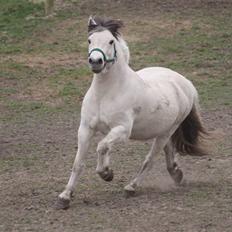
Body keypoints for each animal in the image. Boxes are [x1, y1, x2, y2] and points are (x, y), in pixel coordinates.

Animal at [55, 16, 207, 208]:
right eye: (89, 40)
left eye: (111, 41)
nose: (96, 62)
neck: (106, 93)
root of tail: (186, 84)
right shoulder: (85, 129)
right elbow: (79, 162)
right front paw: (65, 196)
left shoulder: (122, 130)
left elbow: (102, 146)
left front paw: (106, 173)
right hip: (163, 130)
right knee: (168, 150)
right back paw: (176, 174)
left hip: (167, 131)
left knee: (149, 160)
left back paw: (131, 187)